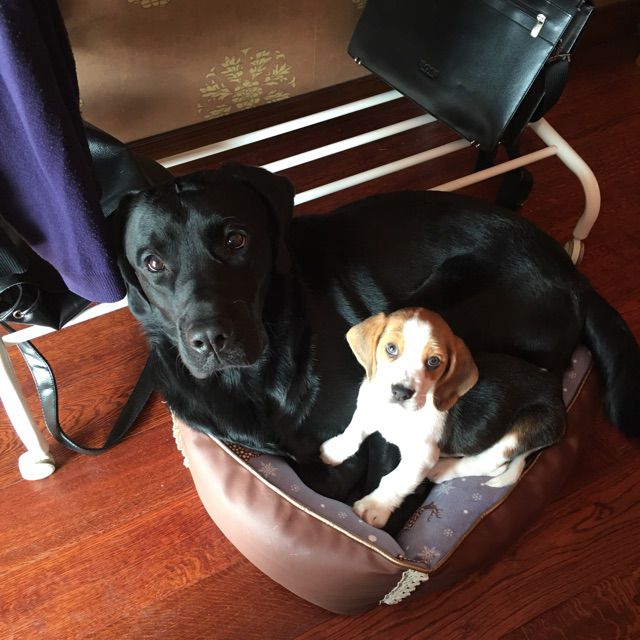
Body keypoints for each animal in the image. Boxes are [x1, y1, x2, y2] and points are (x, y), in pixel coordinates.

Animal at [320, 308, 566, 528]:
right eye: (391, 348)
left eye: (433, 361)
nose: (401, 392)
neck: (398, 414)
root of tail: (558, 394)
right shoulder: (367, 409)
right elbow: (354, 432)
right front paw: (335, 450)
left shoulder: (421, 456)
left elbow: (395, 480)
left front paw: (374, 507)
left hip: (521, 430)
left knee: (491, 462)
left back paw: (441, 469)